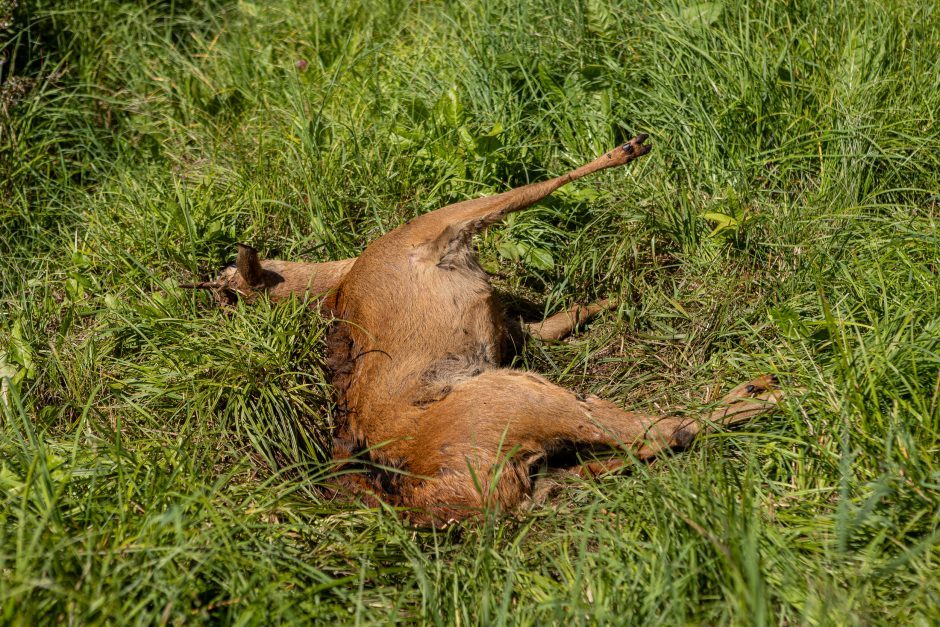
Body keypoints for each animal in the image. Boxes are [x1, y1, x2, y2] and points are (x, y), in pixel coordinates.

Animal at [202, 136, 784, 524]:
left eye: (225, 294)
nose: (212, 287)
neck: (334, 283)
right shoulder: (445, 225)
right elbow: (534, 188)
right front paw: (628, 149)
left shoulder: (507, 329)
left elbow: (555, 321)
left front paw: (614, 298)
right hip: (523, 396)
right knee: (662, 429)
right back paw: (765, 394)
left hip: (534, 449)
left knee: (618, 453)